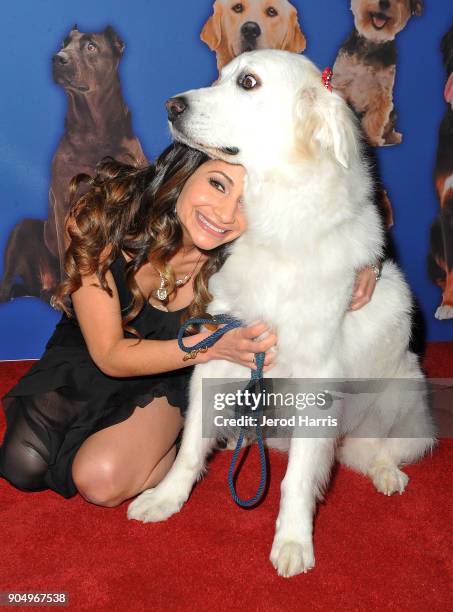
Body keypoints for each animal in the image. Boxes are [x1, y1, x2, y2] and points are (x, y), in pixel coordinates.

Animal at [126, 50, 434, 576]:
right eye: (221, 76)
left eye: (248, 83)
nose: (171, 105)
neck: (275, 222)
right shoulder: (221, 353)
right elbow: (189, 448)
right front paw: (167, 499)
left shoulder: (316, 378)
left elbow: (296, 482)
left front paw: (293, 542)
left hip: (404, 394)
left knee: (379, 449)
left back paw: (387, 473)